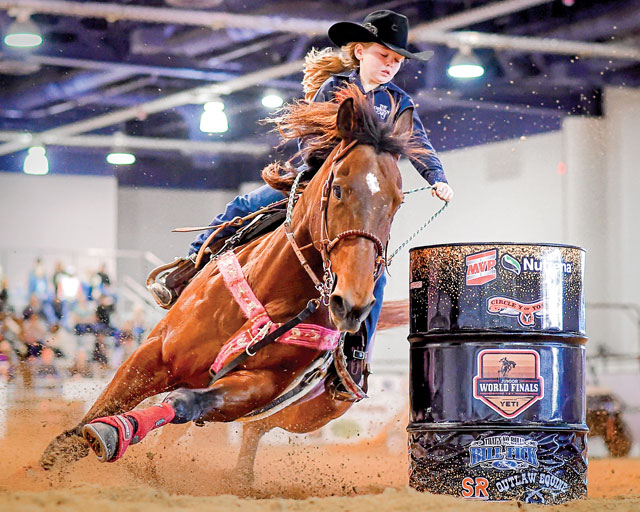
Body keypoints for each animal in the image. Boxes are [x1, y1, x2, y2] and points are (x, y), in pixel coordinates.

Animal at [38, 87, 420, 472]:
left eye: (396, 203)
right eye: (339, 189)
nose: (352, 303)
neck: (272, 292)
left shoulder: (255, 387)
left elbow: (185, 403)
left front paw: (117, 433)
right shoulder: (154, 353)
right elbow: (101, 409)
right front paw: (59, 454)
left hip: (297, 417)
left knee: (250, 430)